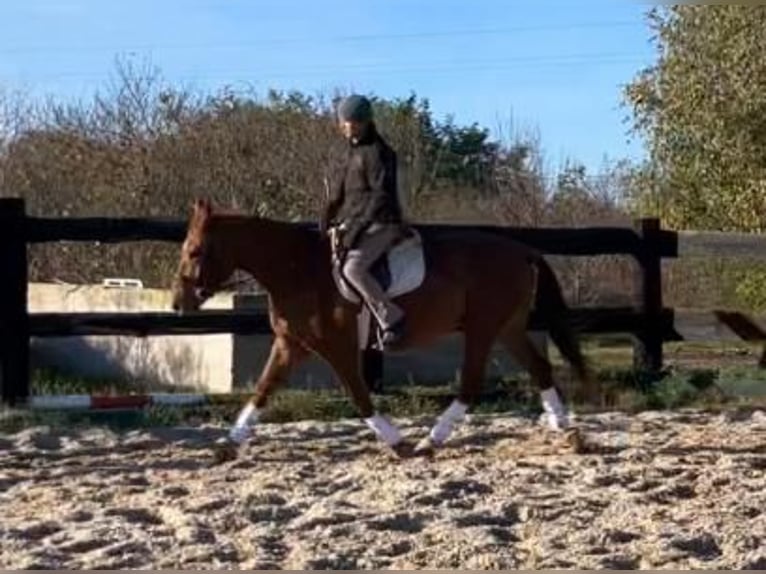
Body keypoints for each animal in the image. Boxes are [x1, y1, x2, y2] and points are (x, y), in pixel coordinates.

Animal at [171, 198, 596, 462]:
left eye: (194, 252)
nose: (178, 304)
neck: (299, 270)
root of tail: (524, 250)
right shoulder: (291, 345)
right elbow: (262, 390)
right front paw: (227, 446)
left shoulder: (337, 347)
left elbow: (359, 397)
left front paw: (398, 444)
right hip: (507, 327)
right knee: (540, 368)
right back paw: (567, 431)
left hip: (482, 328)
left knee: (472, 384)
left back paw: (430, 440)